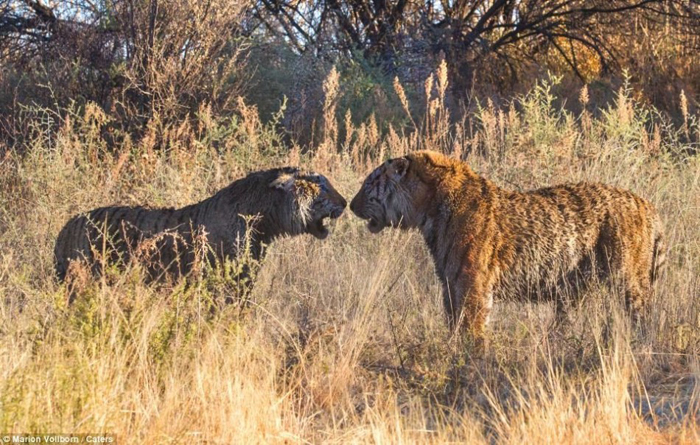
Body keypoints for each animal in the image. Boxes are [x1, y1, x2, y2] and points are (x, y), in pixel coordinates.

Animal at [350, 151, 668, 352]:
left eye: (369, 182)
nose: (351, 205)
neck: (428, 208)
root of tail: (648, 205)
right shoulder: (449, 284)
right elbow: (453, 323)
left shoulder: (471, 283)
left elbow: (471, 327)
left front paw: (471, 358)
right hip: (575, 291)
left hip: (630, 281)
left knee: (643, 319)